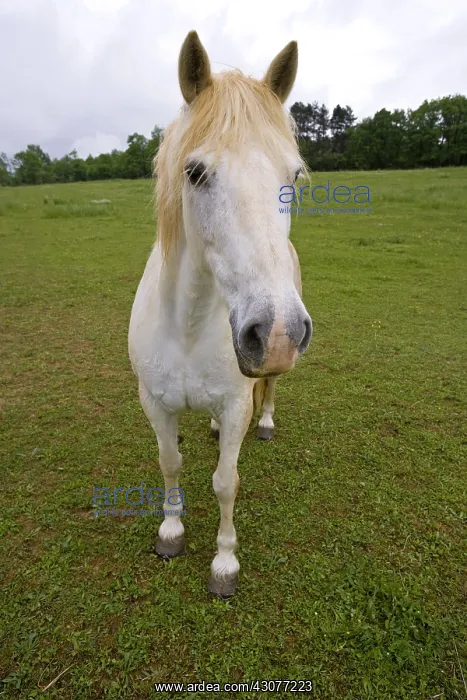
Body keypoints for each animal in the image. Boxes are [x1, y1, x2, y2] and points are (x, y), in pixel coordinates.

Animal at [128, 31, 312, 598]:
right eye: (195, 172)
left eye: (294, 175)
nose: (276, 333)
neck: (187, 328)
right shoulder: (155, 403)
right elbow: (170, 463)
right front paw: (170, 531)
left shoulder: (236, 407)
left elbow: (226, 482)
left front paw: (224, 562)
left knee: (269, 390)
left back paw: (268, 420)